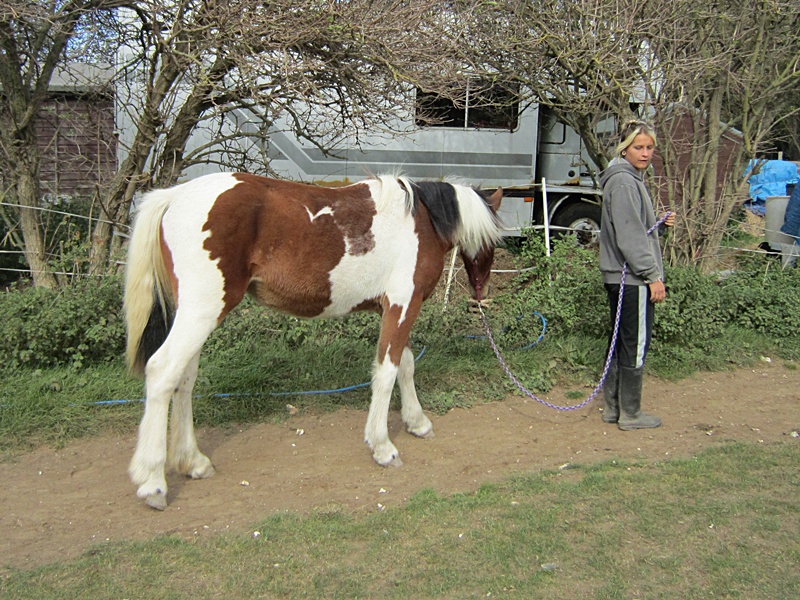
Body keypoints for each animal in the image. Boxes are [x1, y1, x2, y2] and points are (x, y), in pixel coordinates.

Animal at [124, 172, 503, 509]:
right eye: (496, 239)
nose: (482, 291)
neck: (422, 220)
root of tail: (174, 196)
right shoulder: (402, 305)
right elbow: (387, 371)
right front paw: (382, 446)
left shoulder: (395, 310)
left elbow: (405, 365)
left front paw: (417, 422)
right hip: (201, 313)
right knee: (162, 373)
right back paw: (153, 482)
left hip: (194, 316)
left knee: (184, 380)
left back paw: (193, 461)